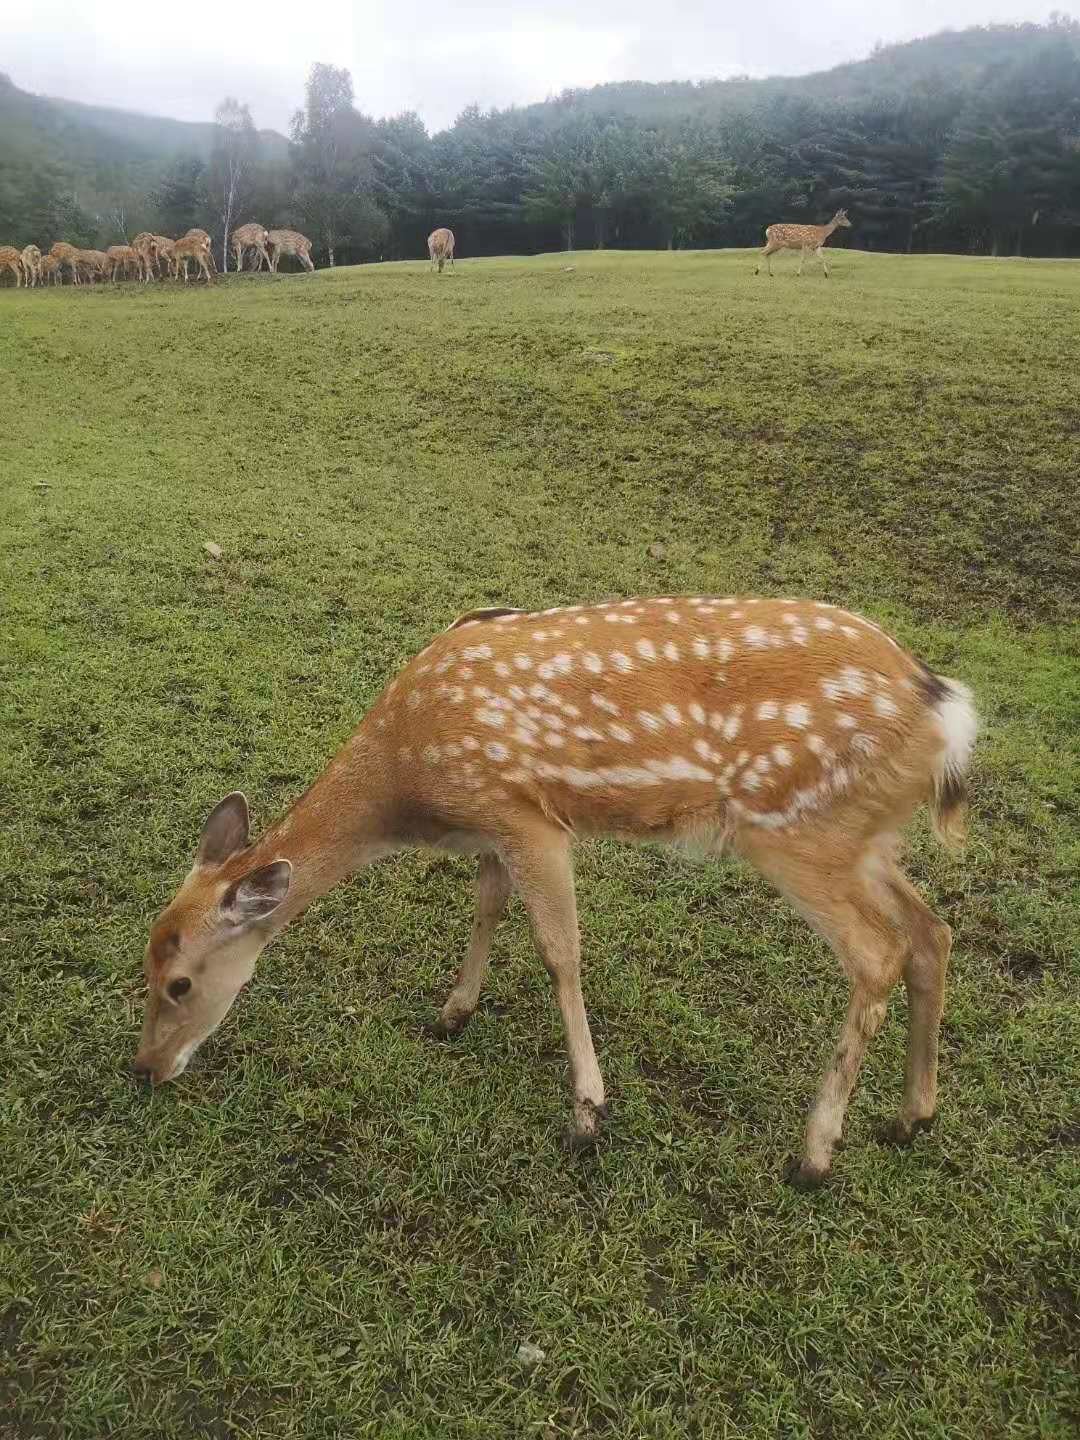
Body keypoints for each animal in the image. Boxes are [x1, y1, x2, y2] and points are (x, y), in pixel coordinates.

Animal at [131, 590, 979, 1186]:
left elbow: (558, 951)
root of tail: (949, 715)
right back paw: (911, 1117)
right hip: (863, 838)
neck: (408, 783)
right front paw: (454, 1012)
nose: (144, 1070)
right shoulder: (492, 826)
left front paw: (587, 1115)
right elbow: (486, 906)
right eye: (145, 962)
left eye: (179, 983)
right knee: (932, 932)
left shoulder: (527, 814)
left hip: (796, 827)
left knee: (877, 953)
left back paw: (812, 1155)